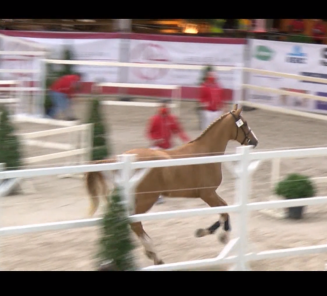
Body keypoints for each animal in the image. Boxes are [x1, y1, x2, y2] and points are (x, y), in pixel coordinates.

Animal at [84, 103, 258, 264]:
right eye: (245, 123)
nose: (255, 141)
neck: (207, 153)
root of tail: (121, 159)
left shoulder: (210, 194)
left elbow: (224, 209)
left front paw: (206, 232)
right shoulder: (207, 194)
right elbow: (224, 211)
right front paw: (222, 236)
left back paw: (149, 253)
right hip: (147, 199)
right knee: (135, 223)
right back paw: (155, 255)